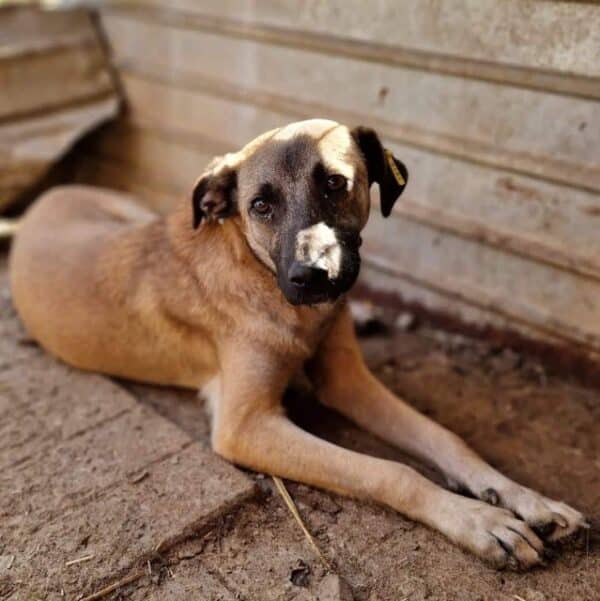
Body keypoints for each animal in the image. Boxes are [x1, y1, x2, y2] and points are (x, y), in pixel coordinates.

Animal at [9, 118, 584, 568]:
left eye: (335, 183)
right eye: (261, 205)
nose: (313, 277)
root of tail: (44, 200)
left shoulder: (348, 381)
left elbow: (445, 438)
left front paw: (524, 498)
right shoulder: (246, 427)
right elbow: (392, 472)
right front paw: (479, 521)